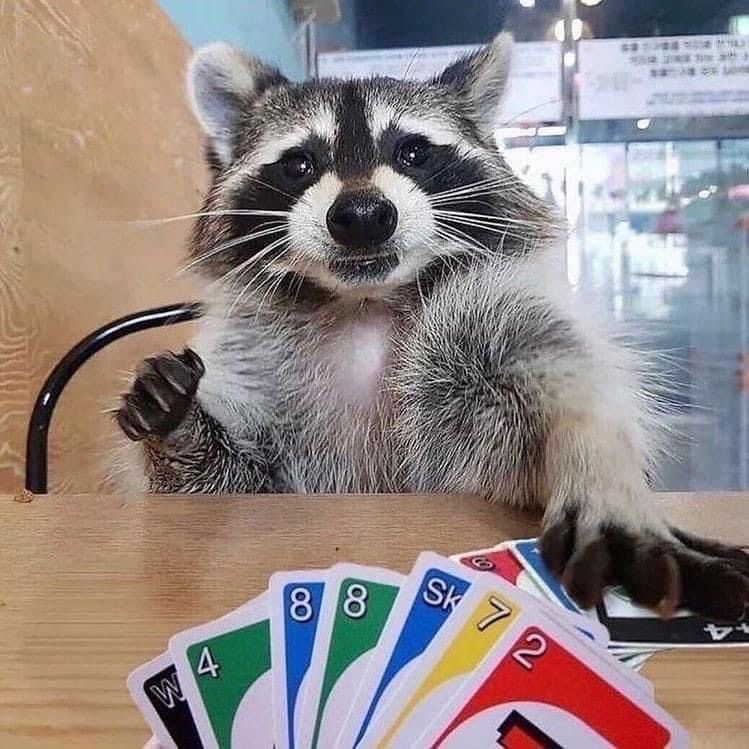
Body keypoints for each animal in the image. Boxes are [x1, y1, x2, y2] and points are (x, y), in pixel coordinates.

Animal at [116, 34, 748, 621]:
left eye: (412, 152)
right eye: (299, 164)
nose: (362, 216)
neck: (364, 304)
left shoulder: (493, 314)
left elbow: (564, 378)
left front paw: (598, 462)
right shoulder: (255, 368)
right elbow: (231, 482)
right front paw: (177, 427)